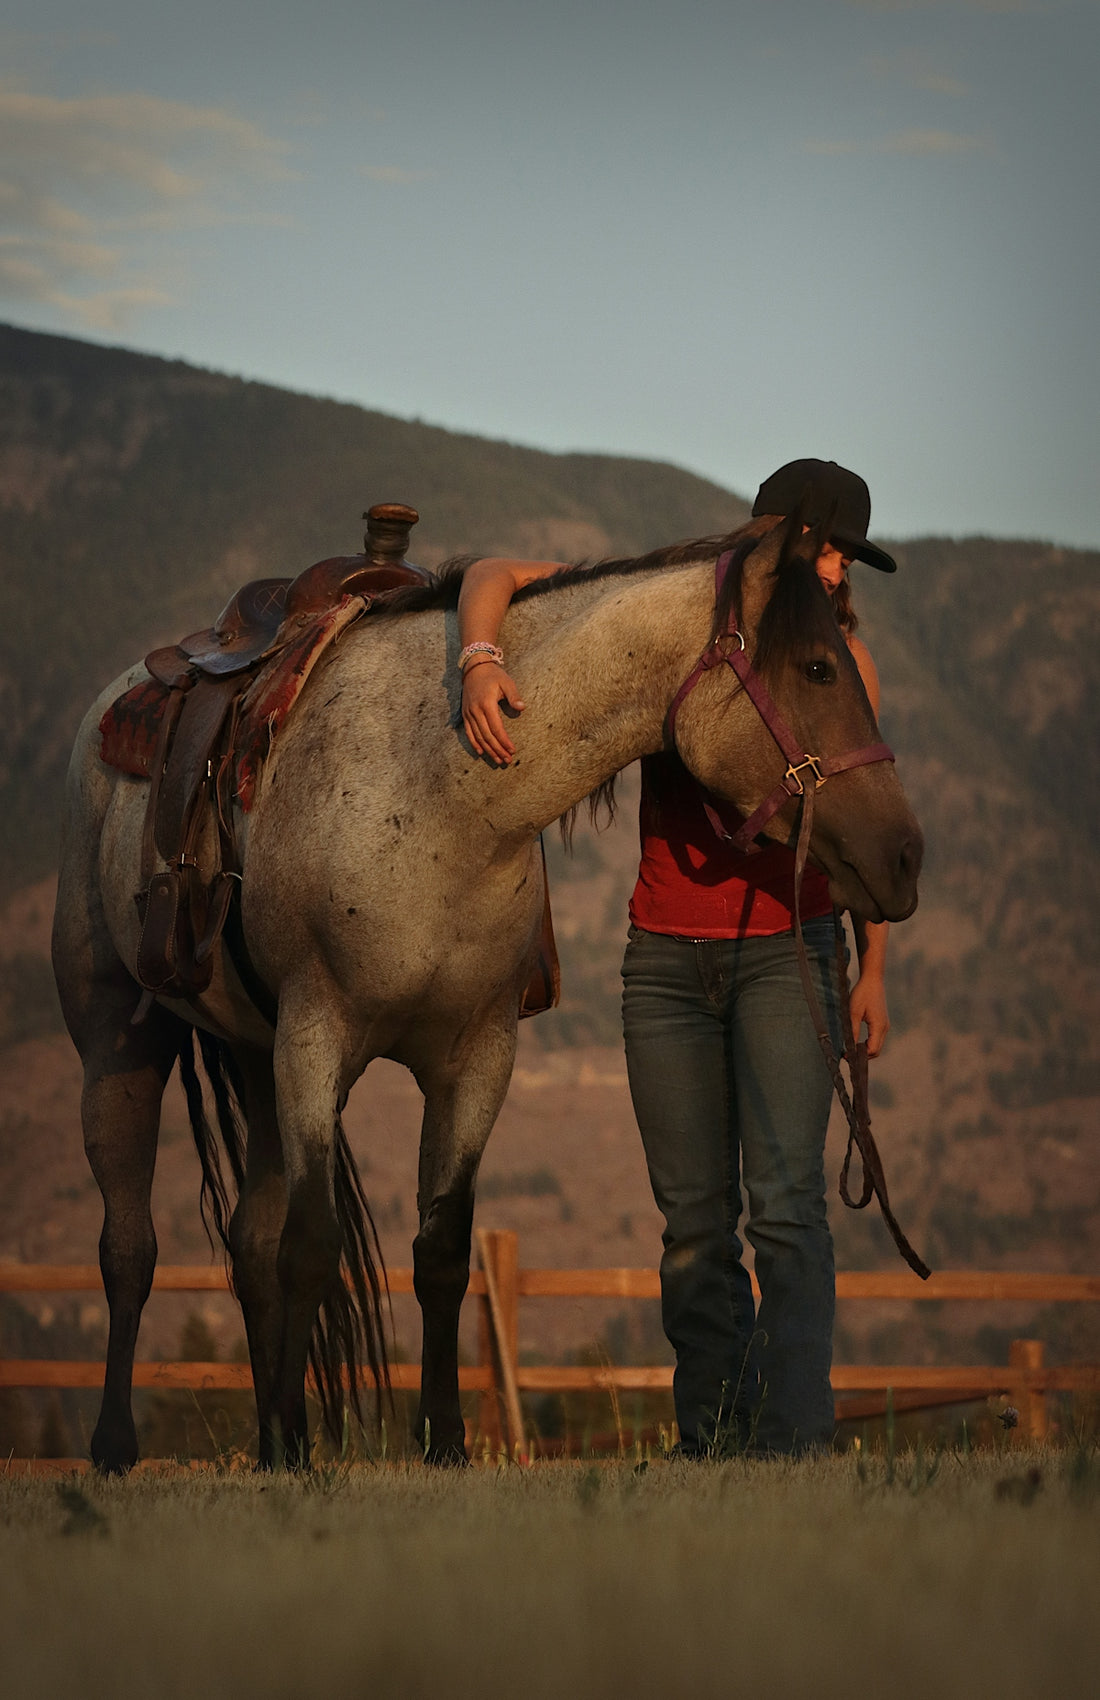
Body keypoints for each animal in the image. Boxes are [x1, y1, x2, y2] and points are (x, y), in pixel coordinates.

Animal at [52, 513, 922, 1471]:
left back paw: (274, 1436)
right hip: (120, 1041)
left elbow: (439, 1250)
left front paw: (439, 1441)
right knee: (129, 1247)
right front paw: (314, 1457)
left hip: (251, 1052)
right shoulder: (315, 1040)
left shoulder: (473, 1060)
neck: (441, 798)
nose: (907, 855)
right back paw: (114, 1442)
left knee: (247, 1241)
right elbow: (311, 1247)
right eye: (818, 668)